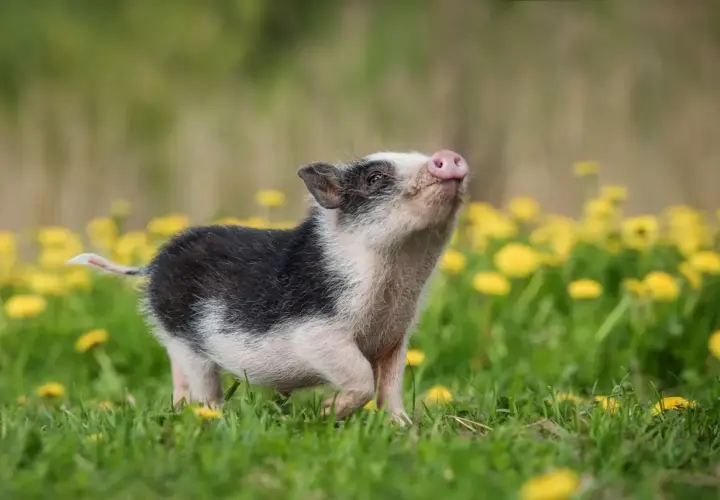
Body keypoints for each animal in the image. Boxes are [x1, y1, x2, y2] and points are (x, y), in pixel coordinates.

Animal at [67, 150, 469, 425]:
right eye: (374, 178)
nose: (447, 157)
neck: (397, 277)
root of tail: (154, 264)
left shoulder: (395, 337)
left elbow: (390, 387)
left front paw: (403, 427)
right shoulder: (317, 333)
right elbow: (361, 377)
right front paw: (325, 414)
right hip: (184, 338)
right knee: (202, 383)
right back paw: (213, 418)